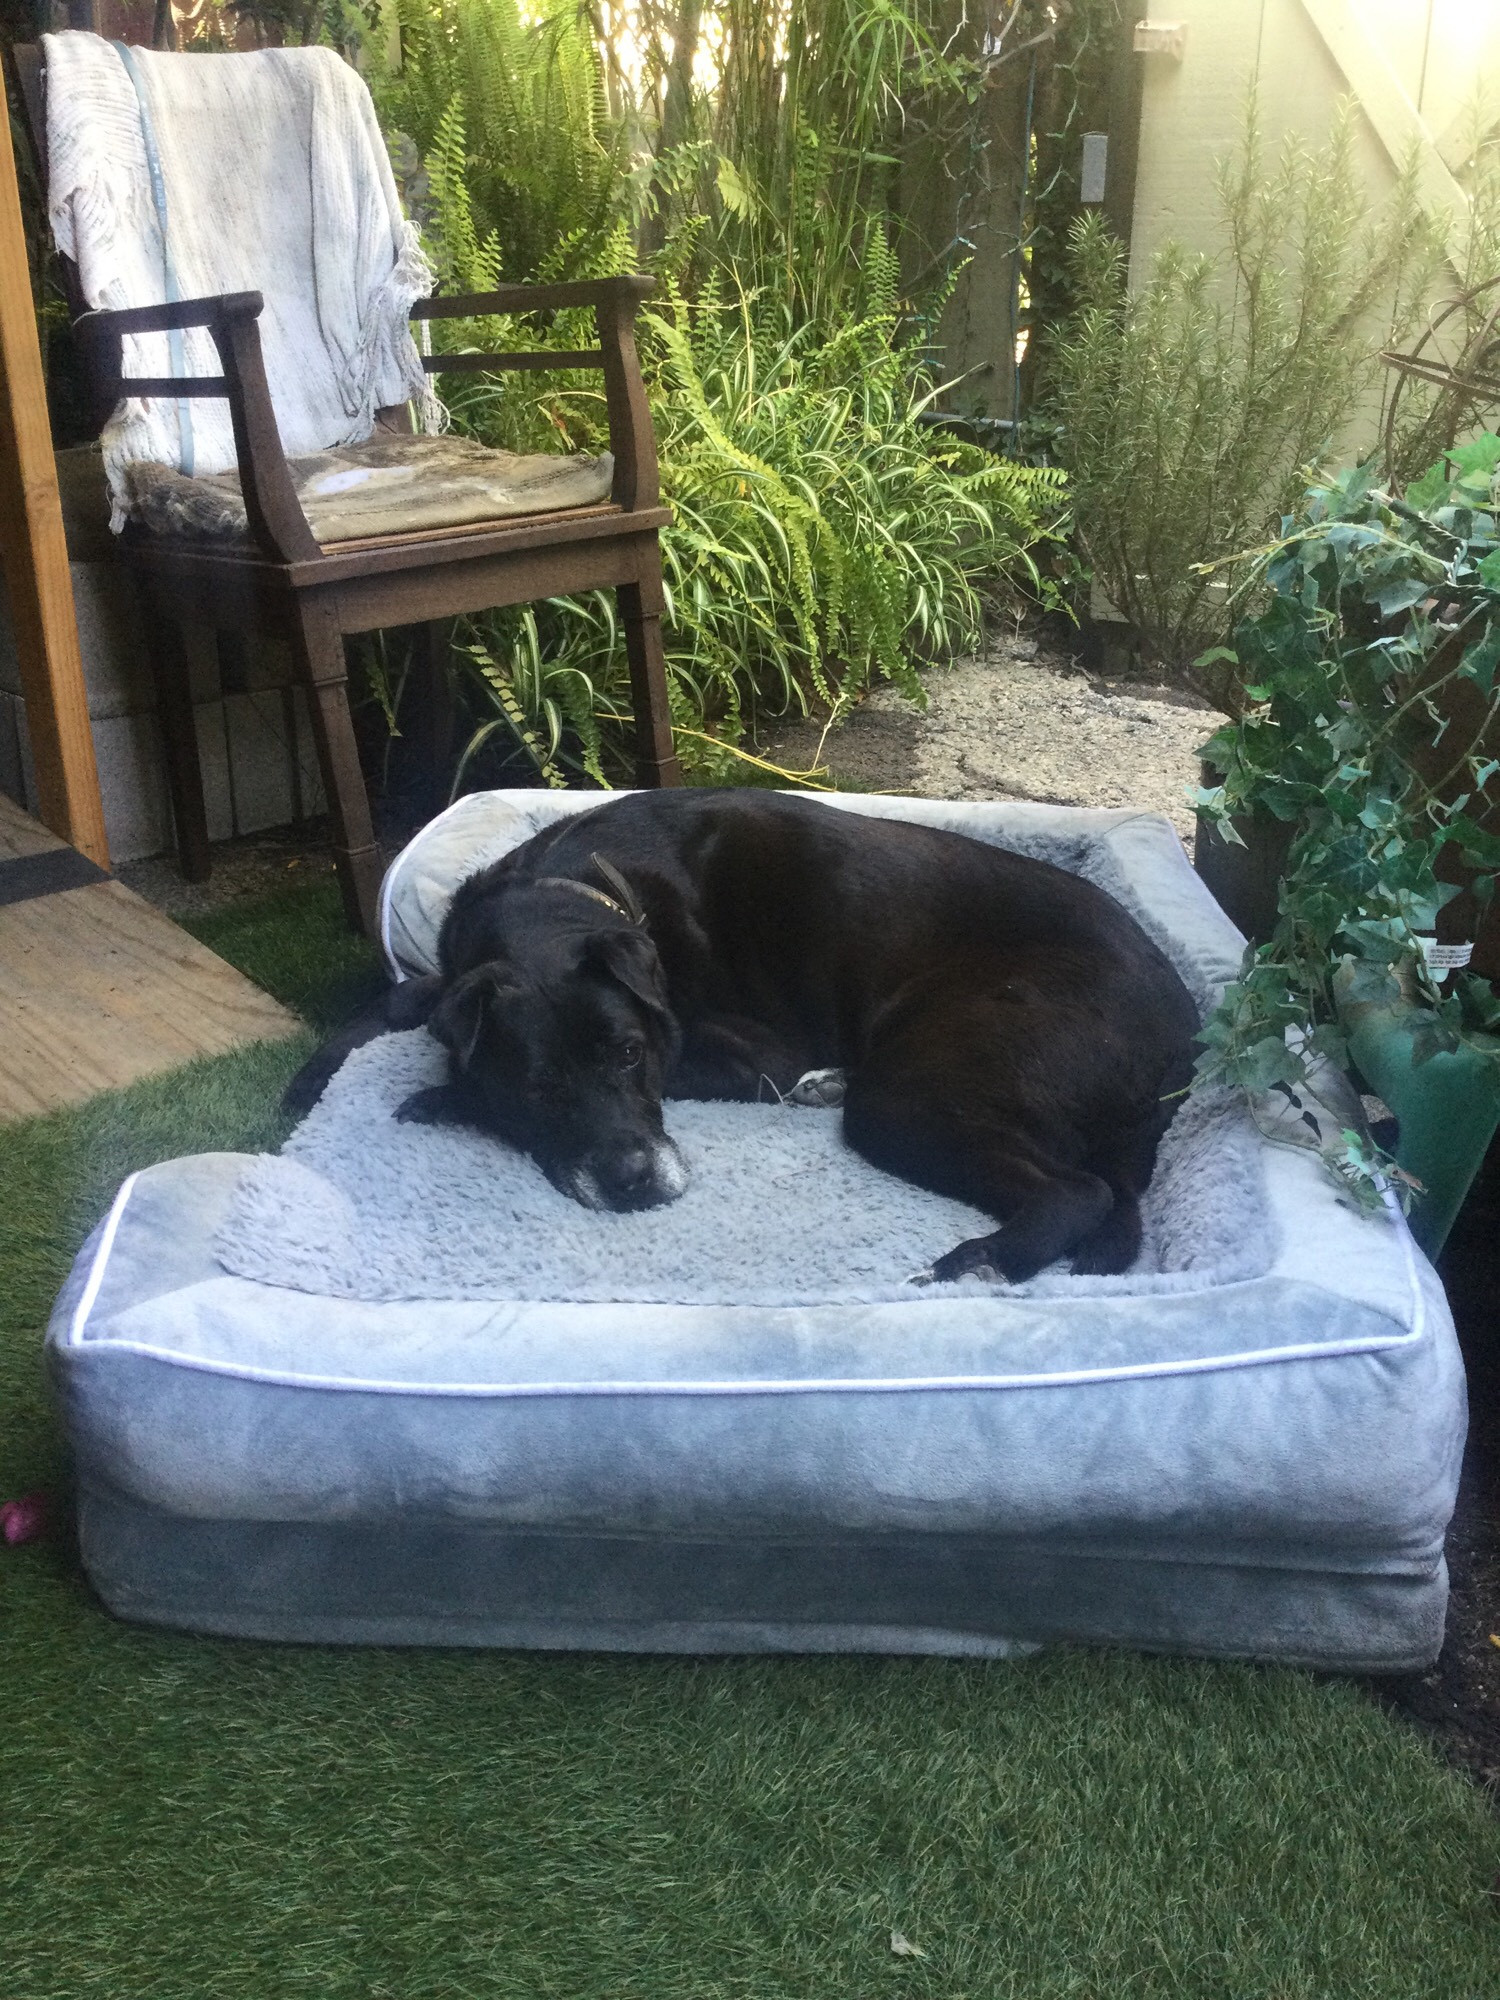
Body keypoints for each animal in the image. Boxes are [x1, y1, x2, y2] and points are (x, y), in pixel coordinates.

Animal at [290, 788, 1200, 1272]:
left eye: (629, 1055)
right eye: (539, 1088)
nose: (632, 1182)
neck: (570, 892)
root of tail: (1187, 1024)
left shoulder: (751, 1052)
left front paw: (442, 1097)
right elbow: (408, 998)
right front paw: (314, 1076)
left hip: (910, 1094)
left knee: (1078, 1190)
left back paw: (981, 1260)